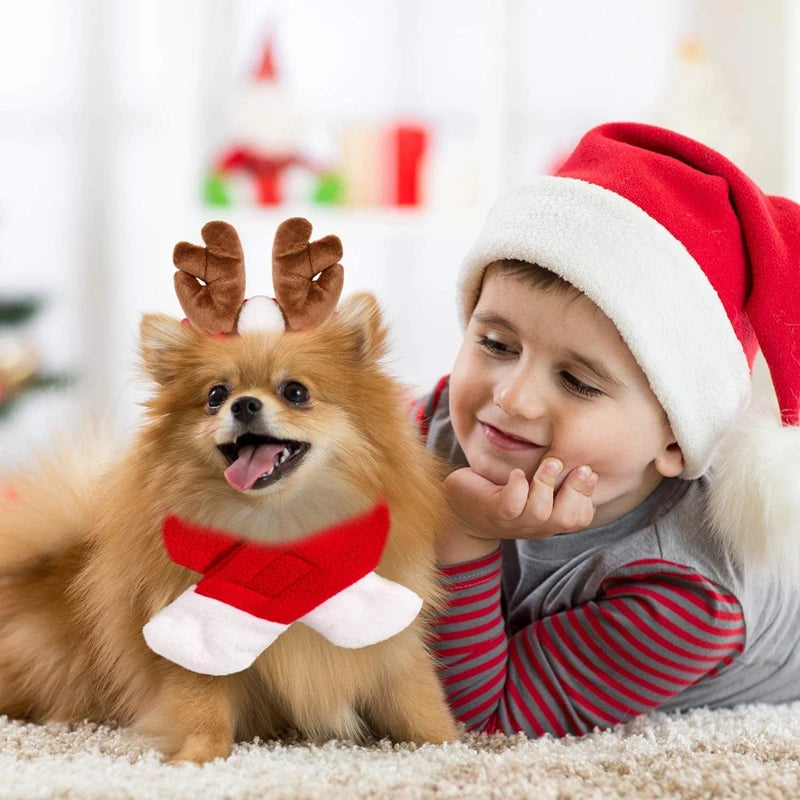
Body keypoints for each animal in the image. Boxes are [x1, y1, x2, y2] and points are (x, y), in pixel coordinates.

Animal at [0, 219, 456, 764]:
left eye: (296, 392)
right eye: (216, 395)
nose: (243, 404)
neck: (277, 533)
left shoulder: (388, 642)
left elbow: (420, 704)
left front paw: (454, 746)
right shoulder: (193, 647)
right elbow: (205, 711)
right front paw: (196, 759)